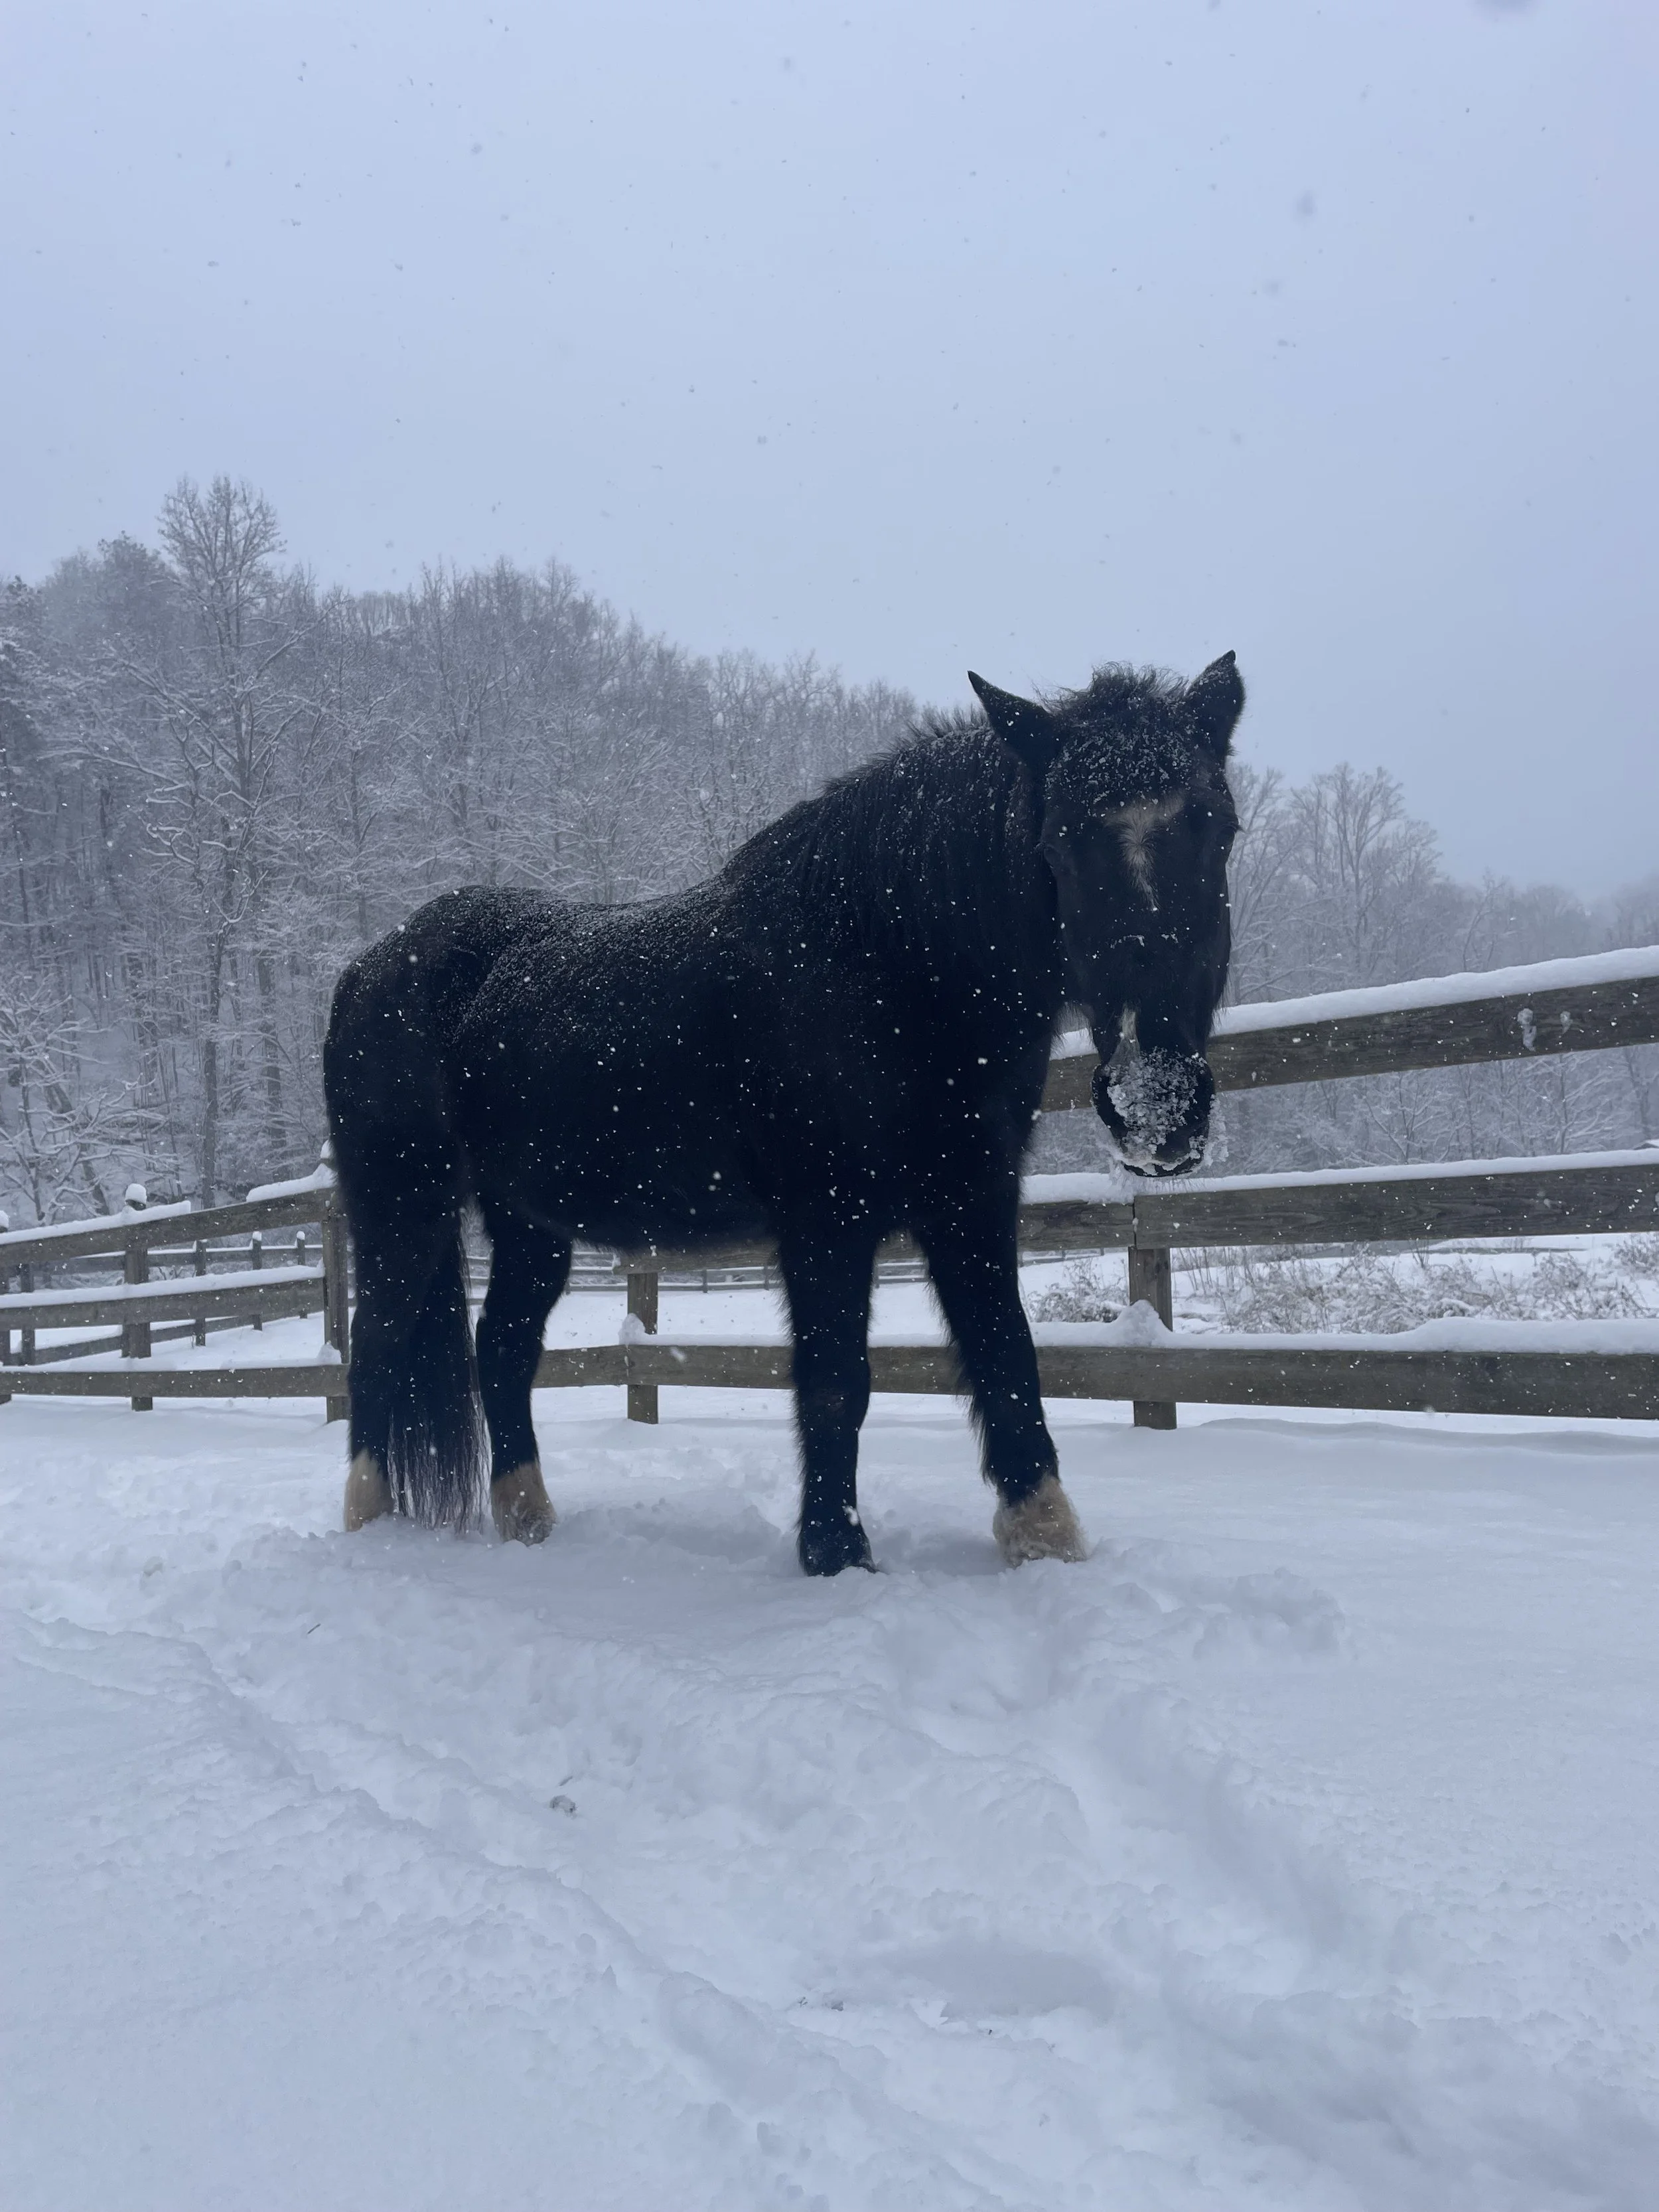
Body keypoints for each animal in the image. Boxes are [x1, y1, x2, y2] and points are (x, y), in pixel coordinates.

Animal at [322, 652, 1243, 1573]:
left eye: (1219, 827)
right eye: (1057, 843)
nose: (1155, 1108)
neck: (883, 967)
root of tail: (370, 964)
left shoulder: (970, 1199)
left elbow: (1006, 1352)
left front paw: (1043, 1538)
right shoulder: (825, 1218)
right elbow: (836, 1380)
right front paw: (836, 1553)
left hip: (528, 1223)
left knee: (503, 1350)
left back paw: (527, 1523)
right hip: (403, 1206)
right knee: (376, 1350)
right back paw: (367, 1526)